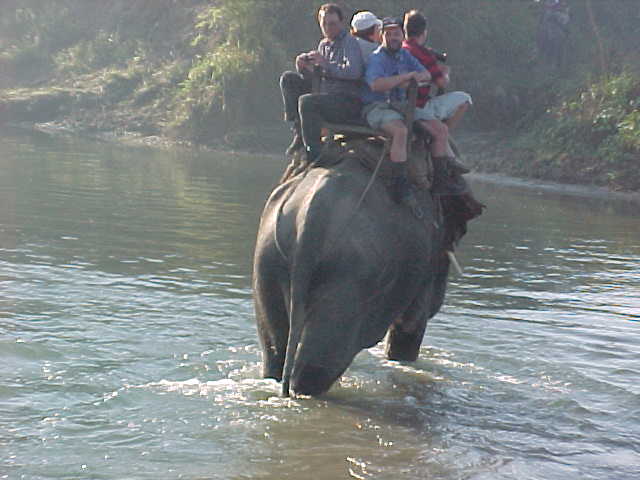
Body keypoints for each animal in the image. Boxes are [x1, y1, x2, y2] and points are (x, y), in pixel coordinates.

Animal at [252, 151, 472, 398]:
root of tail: (310, 218)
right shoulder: (425, 266)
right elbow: (409, 327)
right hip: (350, 276)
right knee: (317, 365)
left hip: (268, 259)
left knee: (275, 350)